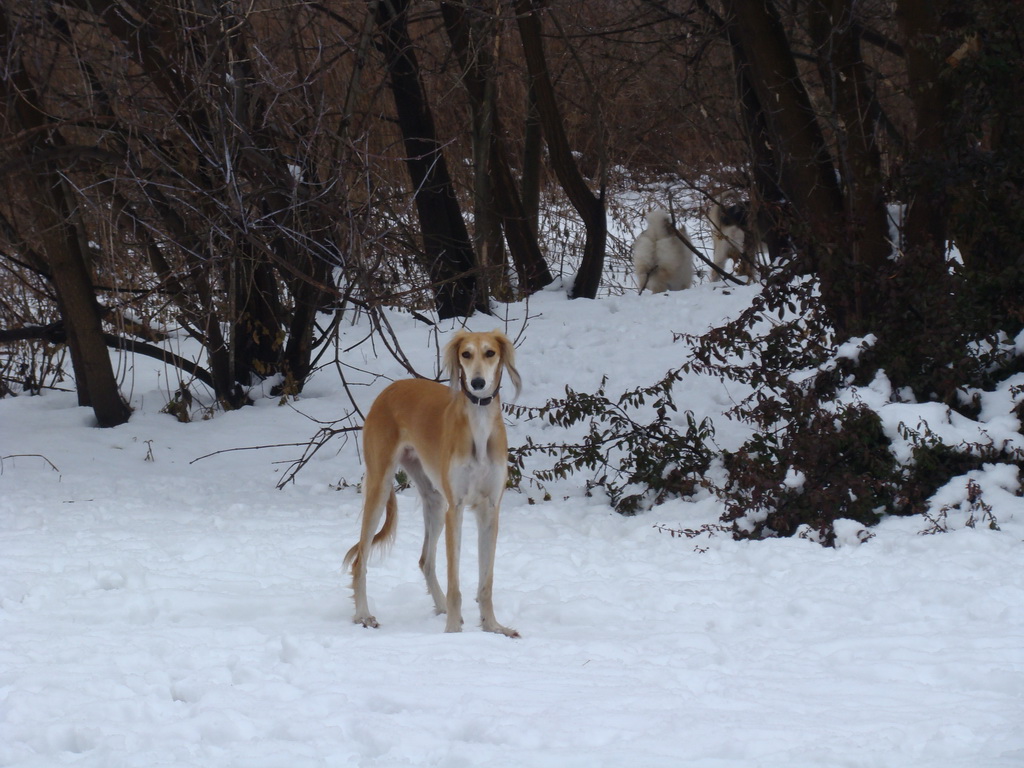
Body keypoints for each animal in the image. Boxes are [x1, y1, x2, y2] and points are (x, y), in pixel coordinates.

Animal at [344, 331, 520, 638]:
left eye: (490, 353)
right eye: (465, 354)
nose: (477, 383)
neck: (479, 426)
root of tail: (390, 388)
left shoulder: (489, 509)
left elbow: (486, 582)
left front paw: (493, 627)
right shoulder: (456, 508)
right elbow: (455, 582)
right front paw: (453, 632)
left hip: (434, 499)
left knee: (425, 559)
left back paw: (442, 607)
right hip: (381, 486)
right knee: (360, 560)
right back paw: (364, 615)